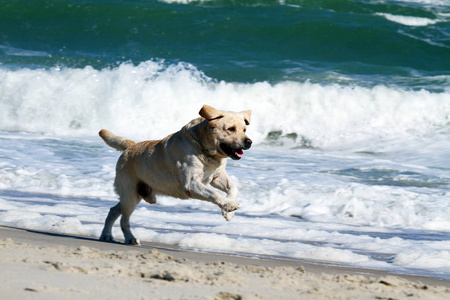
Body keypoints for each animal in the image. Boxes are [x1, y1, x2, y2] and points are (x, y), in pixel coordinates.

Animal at [98, 104, 251, 245]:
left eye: (244, 130)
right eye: (231, 129)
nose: (249, 142)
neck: (205, 149)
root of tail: (130, 145)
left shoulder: (217, 176)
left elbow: (233, 187)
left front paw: (228, 212)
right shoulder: (191, 184)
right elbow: (213, 193)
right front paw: (228, 205)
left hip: (135, 194)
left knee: (113, 210)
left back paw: (106, 235)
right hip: (130, 194)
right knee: (124, 219)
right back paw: (130, 238)